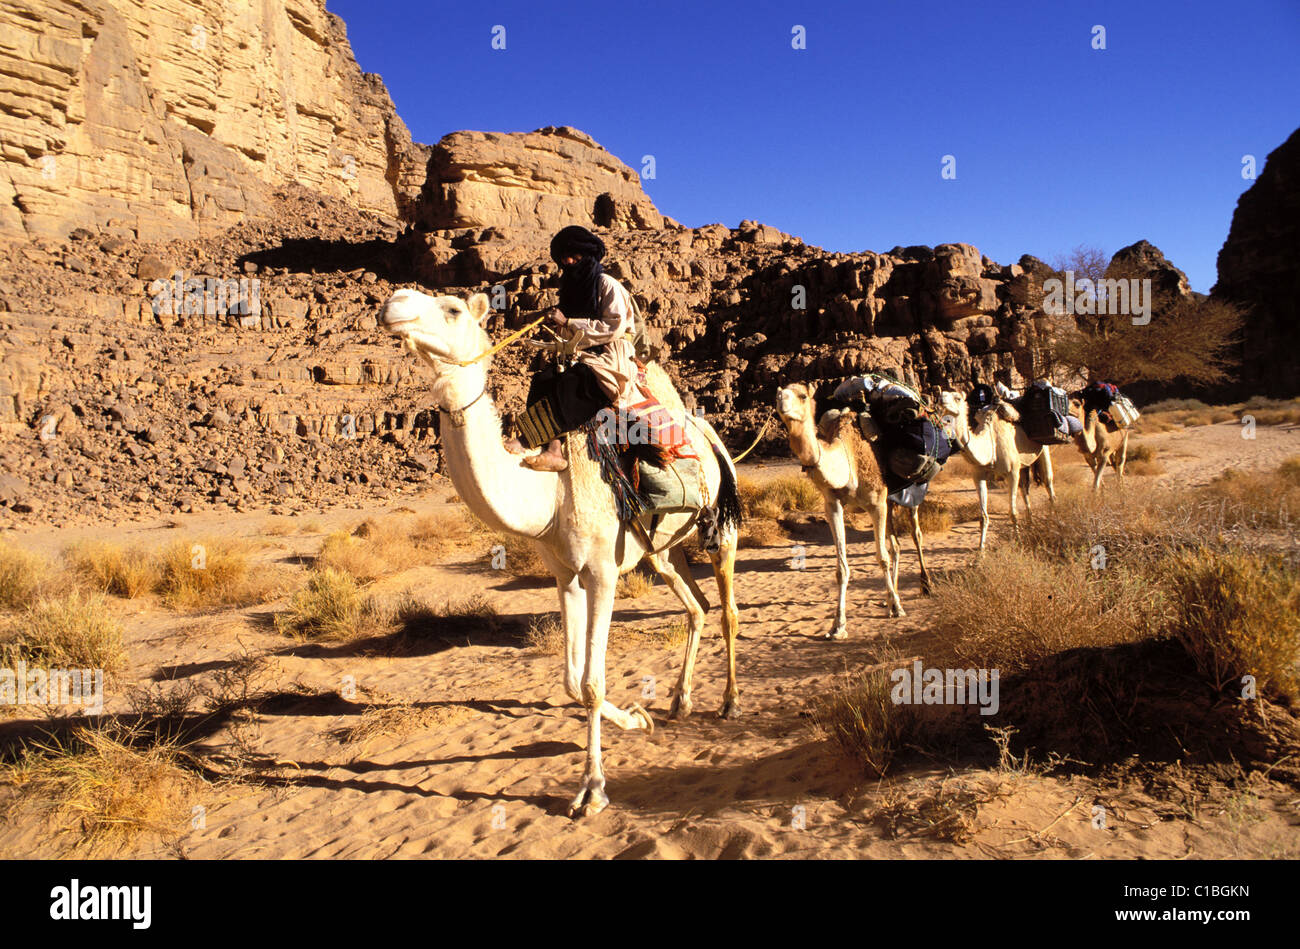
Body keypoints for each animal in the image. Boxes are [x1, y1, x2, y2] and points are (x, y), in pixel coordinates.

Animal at [379, 288, 741, 817]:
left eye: (453, 309)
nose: (394, 303)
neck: (549, 493)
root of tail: (707, 432)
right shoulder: (564, 572)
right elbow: (572, 680)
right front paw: (637, 718)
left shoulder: (603, 571)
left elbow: (591, 683)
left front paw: (592, 790)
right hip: (662, 550)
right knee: (696, 605)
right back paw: (679, 700)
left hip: (721, 525)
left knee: (728, 609)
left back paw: (730, 701)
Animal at [774, 382, 932, 635]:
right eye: (778, 395)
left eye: (802, 395)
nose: (782, 404)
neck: (848, 463)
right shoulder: (833, 506)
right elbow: (842, 568)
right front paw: (838, 625)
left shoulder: (876, 502)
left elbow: (882, 558)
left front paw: (898, 609)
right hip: (889, 502)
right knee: (896, 545)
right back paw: (890, 598)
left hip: (911, 493)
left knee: (916, 535)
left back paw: (925, 586)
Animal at [938, 389, 1056, 551]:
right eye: (942, 393)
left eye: (957, 398)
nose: (941, 398)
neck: (989, 446)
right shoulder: (978, 476)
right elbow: (983, 516)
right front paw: (981, 550)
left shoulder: (1012, 473)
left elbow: (1013, 512)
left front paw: (1019, 542)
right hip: (1023, 466)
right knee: (1025, 489)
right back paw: (1031, 525)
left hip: (1044, 448)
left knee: (1048, 483)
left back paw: (1054, 520)